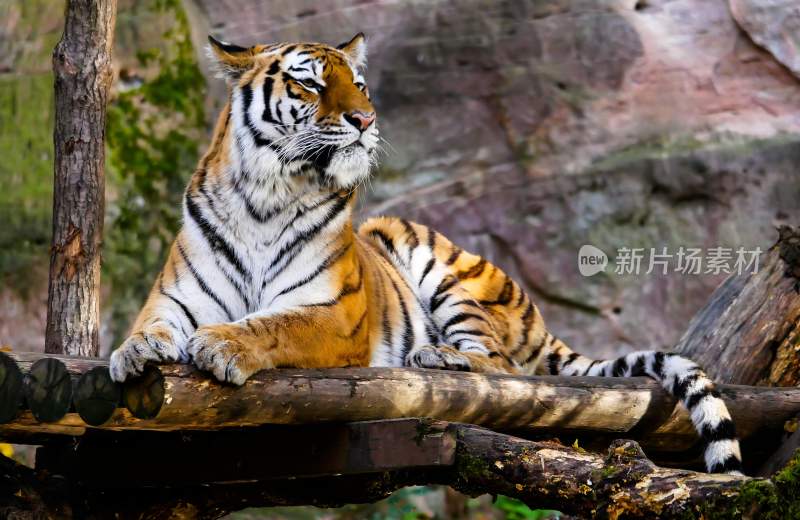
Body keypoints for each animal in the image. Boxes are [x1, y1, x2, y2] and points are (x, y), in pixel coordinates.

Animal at [108, 31, 744, 472]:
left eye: (359, 84)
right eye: (309, 83)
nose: (365, 119)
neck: (266, 196)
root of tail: (539, 319)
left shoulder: (335, 315)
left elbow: (274, 324)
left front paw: (223, 344)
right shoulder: (175, 297)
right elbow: (151, 325)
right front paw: (132, 352)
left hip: (438, 265)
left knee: (503, 366)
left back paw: (438, 357)